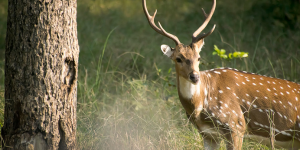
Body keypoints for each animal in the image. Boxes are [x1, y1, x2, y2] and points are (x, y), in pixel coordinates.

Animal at [142, 0, 300, 149]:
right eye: (178, 58)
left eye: (198, 57)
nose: (195, 76)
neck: (200, 105)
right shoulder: (208, 134)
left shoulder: (236, 124)